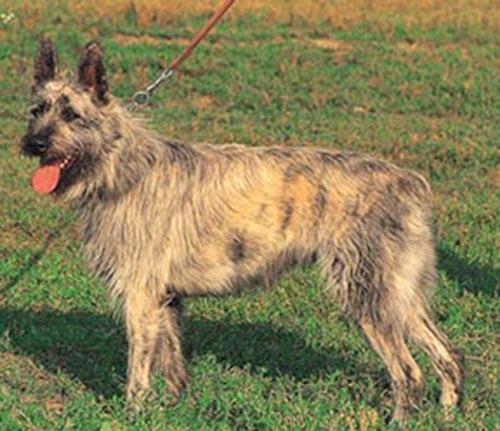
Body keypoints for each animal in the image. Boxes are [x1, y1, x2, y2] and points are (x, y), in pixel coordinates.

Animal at [21, 38, 462, 420]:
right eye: (37, 110)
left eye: (72, 115)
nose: (35, 144)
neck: (121, 165)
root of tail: (408, 181)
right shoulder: (166, 298)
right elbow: (173, 361)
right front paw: (176, 409)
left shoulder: (141, 296)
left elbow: (139, 367)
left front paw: (134, 414)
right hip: (400, 295)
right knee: (447, 356)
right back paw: (447, 411)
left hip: (368, 295)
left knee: (409, 372)